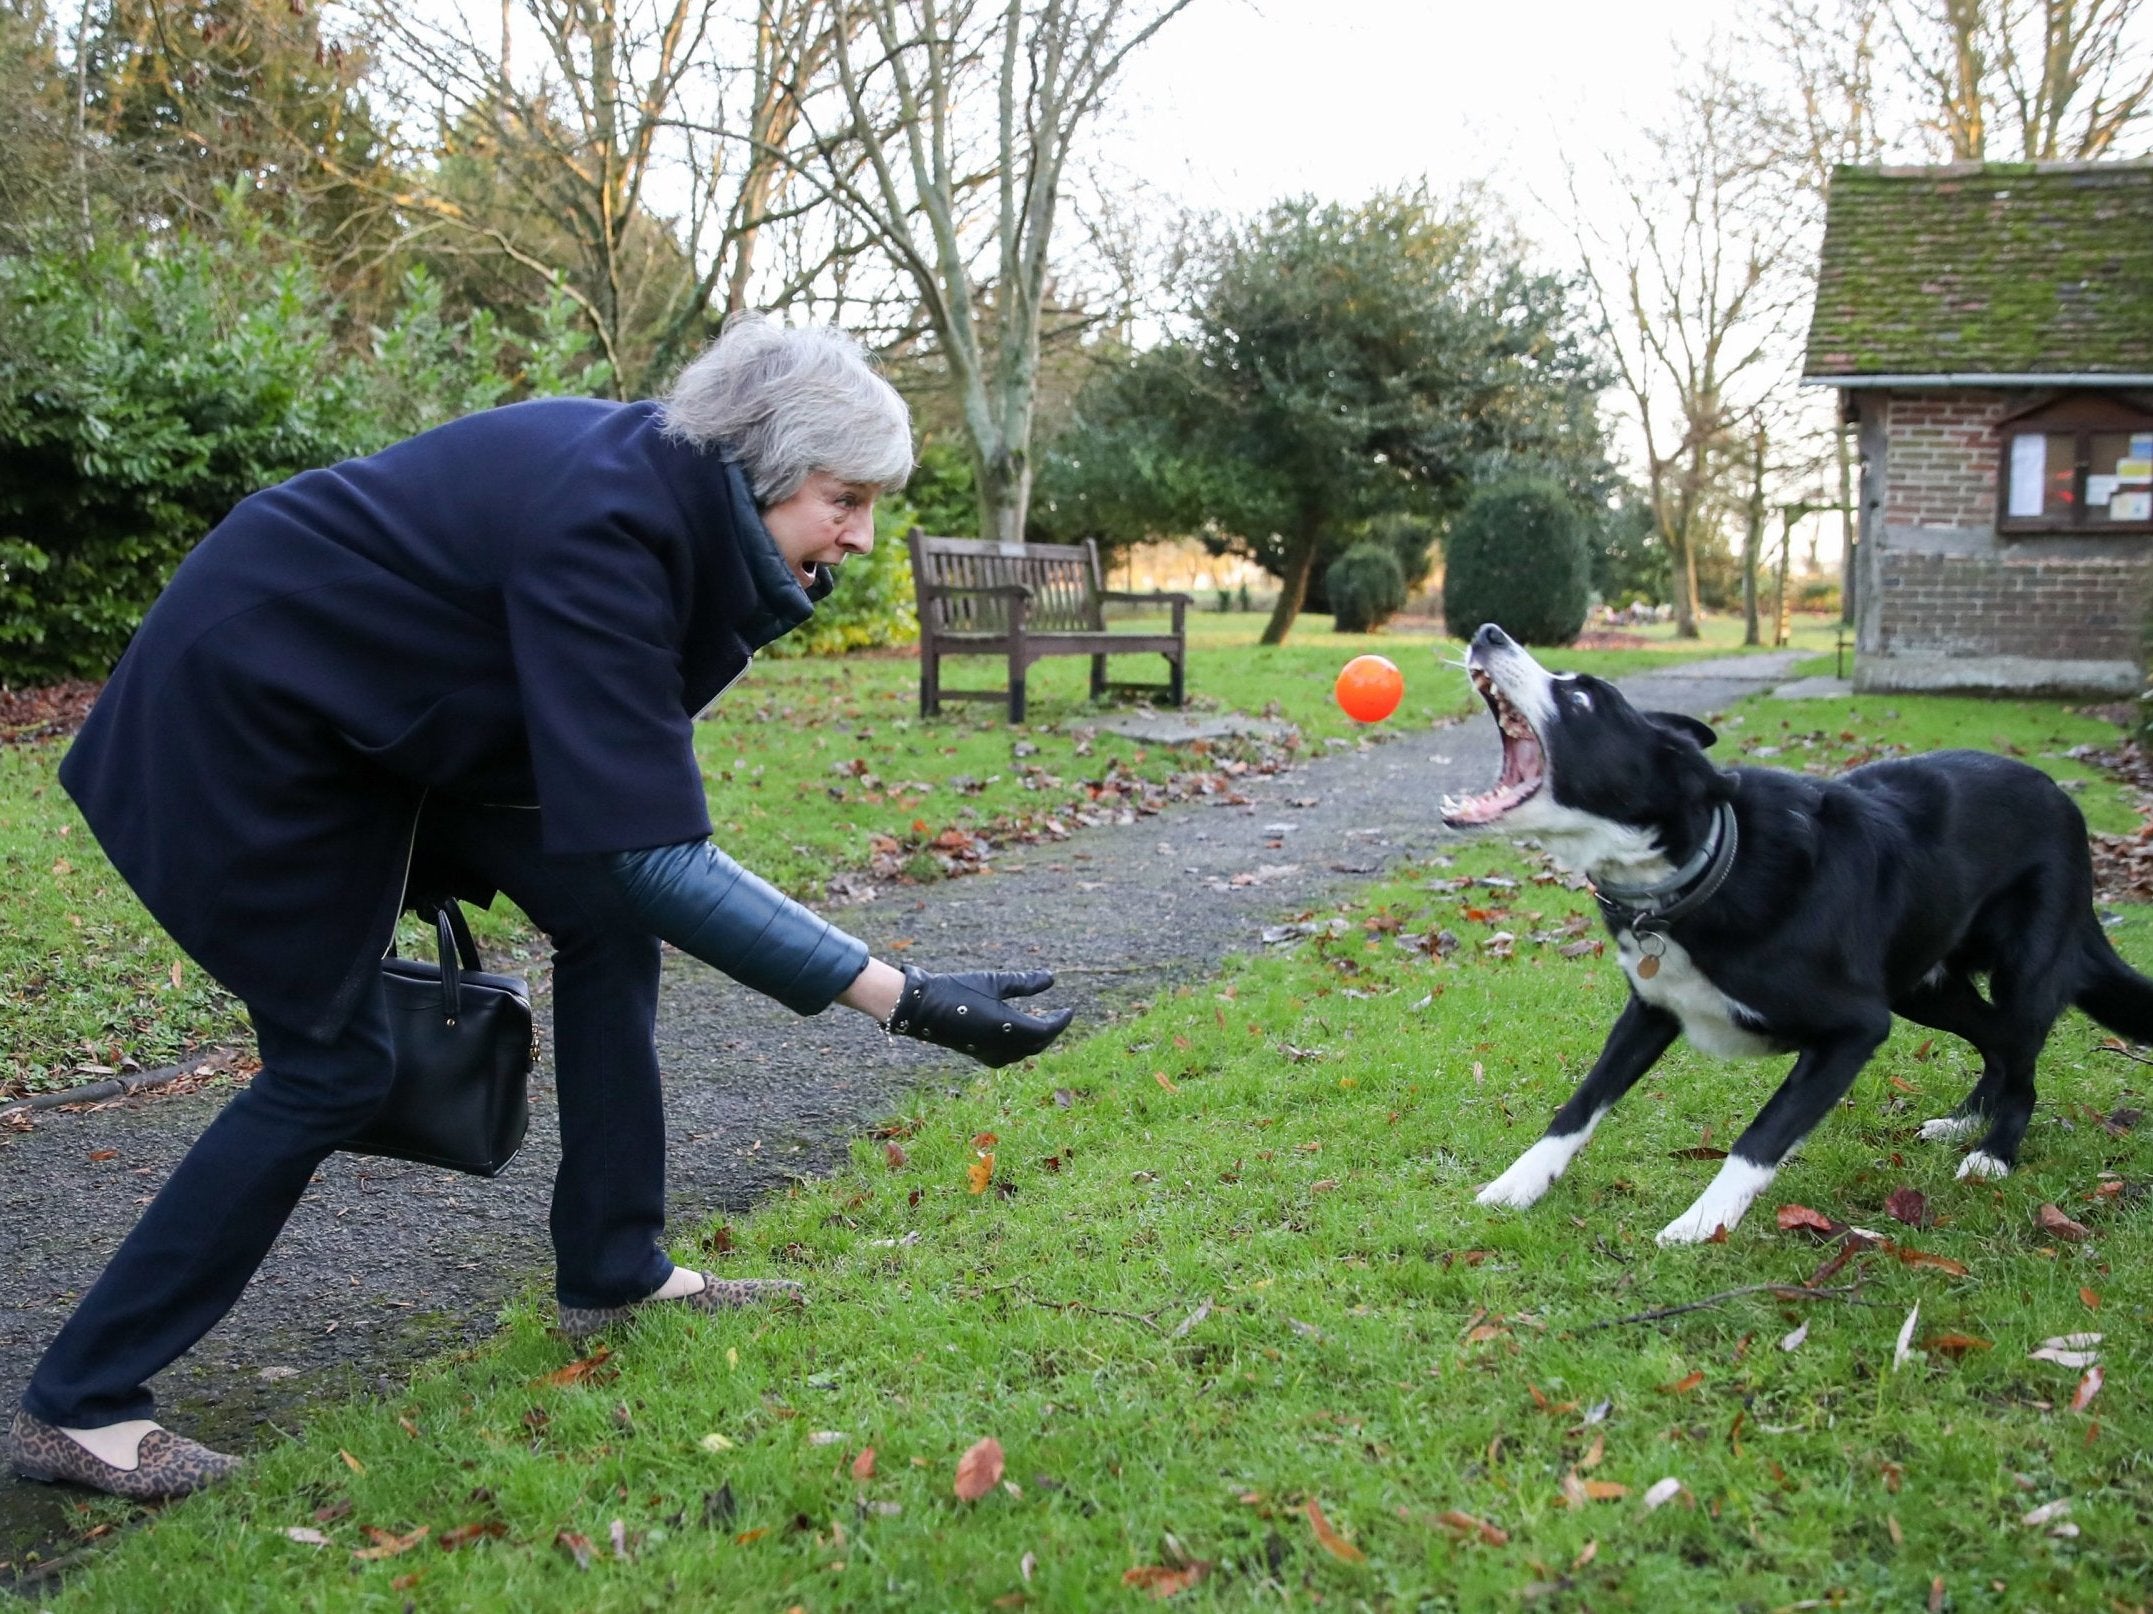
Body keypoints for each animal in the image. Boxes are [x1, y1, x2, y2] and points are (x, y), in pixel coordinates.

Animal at [1446, 624, 2153, 1248]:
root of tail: (2062, 800)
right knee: (1998, 1043)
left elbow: (1760, 1137)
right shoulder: (1651, 1010)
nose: (1487, 632)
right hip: (1923, 987)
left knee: (2022, 1054)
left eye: (1583, 699)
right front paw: (1518, 1185)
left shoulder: (1855, 1028)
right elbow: (1581, 1103)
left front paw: (1702, 1224)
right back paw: (1964, 1123)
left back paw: (1993, 1153)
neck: (1702, 868)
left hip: (2022, 969)